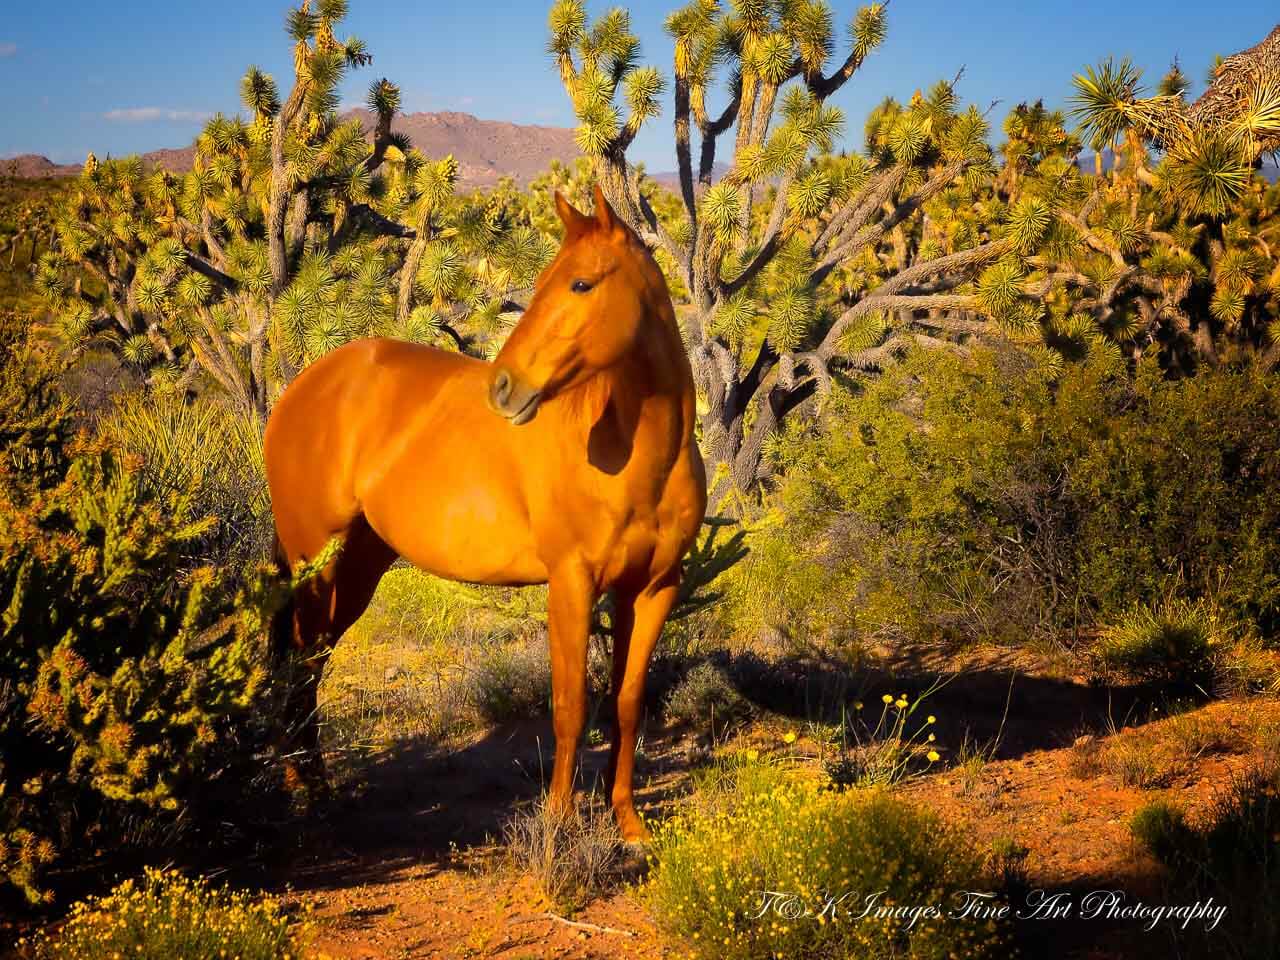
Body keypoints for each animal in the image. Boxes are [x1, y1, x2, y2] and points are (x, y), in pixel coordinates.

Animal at [263, 184, 706, 839]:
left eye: (580, 283)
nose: (503, 387)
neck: (639, 458)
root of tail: (301, 387)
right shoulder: (571, 583)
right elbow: (570, 705)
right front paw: (558, 825)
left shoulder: (652, 589)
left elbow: (626, 703)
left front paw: (627, 823)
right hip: (313, 563)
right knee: (299, 668)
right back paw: (310, 801)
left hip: (358, 567)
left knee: (311, 665)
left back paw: (317, 795)